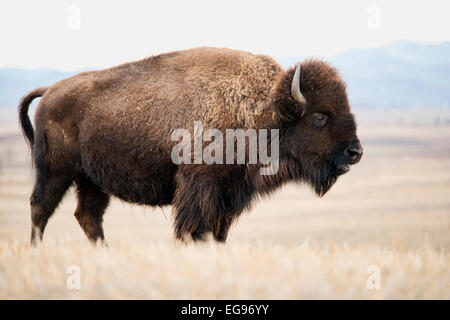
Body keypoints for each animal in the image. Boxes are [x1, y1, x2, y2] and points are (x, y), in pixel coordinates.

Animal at [18, 46, 362, 245]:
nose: (355, 152)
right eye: (319, 117)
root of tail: (51, 90)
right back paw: (37, 250)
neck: (261, 107)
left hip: (91, 179)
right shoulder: (201, 186)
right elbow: (195, 228)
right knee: (40, 207)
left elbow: (217, 231)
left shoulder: (229, 194)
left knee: (88, 215)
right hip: (56, 171)